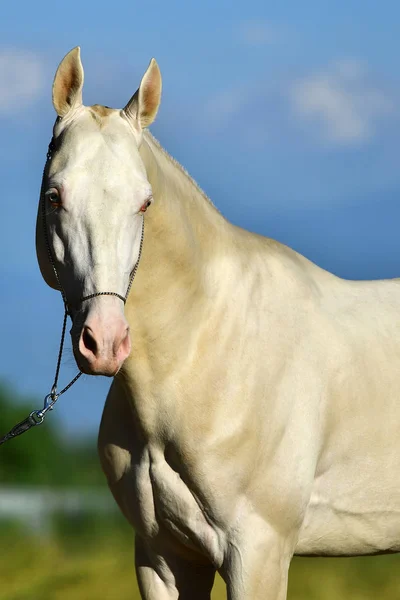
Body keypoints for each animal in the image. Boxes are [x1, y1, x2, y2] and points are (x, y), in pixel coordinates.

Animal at [36, 48, 400, 600]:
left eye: (144, 201)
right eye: (54, 196)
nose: (105, 341)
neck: (206, 352)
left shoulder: (259, 552)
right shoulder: (164, 558)